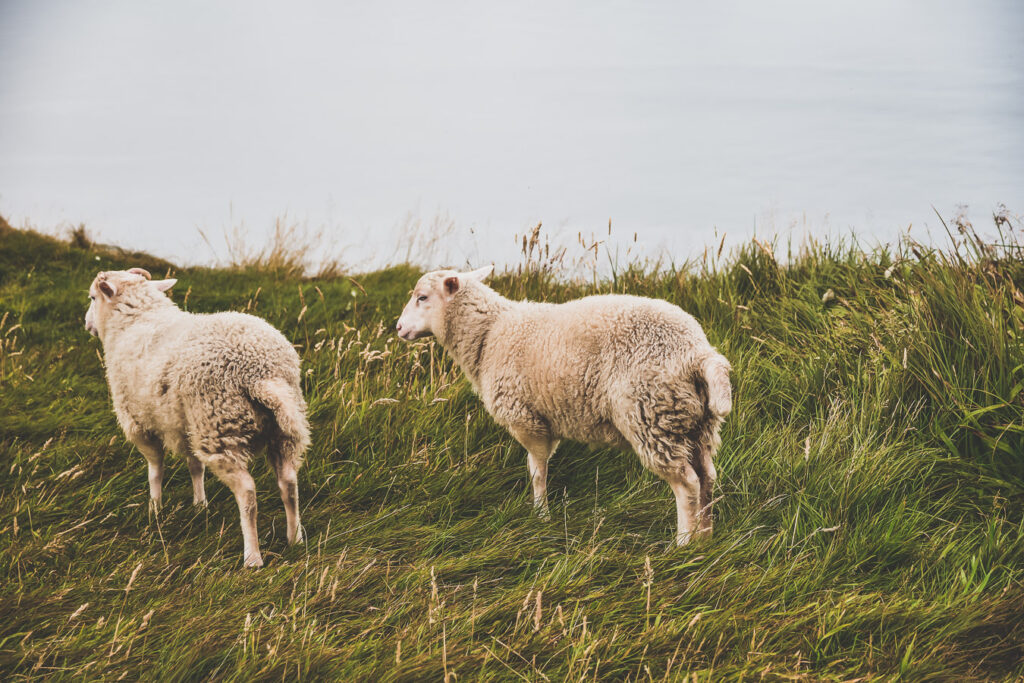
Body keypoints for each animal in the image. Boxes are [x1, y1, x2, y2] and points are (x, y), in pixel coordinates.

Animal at [84, 266, 309, 565]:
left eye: (92, 297)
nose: (86, 323)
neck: (135, 320)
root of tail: (259, 374)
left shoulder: (139, 424)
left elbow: (155, 470)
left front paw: (155, 508)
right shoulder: (184, 425)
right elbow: (195, 467)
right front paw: (200, 504)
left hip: (219, 428)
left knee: (247, 494)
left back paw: (252, 556)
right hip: (279, 429)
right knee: (289, 484)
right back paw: (294, 538)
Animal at [395, 266, 733, 544]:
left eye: (422, 297)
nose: (398, 328)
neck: (489, 335)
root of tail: (697, 353)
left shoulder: (527, 419)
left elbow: (536, 471)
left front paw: (541, 515)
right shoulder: (545, 420)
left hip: (651, 416)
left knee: (687, 484)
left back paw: (684, 544)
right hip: (695, 424)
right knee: (706, 478)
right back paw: (705, 538)